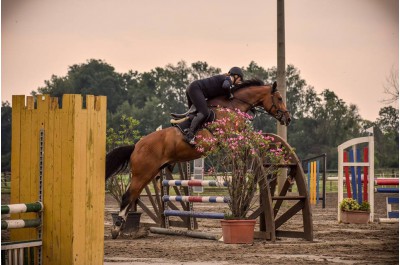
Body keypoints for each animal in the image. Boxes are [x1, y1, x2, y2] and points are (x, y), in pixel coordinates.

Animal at [105, 78, 290, 237]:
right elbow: (244, 139)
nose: (287, 119)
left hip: (151, 173)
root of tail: (136, 146)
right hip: (143, 173)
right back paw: (116, 229)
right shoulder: (228, 135)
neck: (231, 106)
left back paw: (122, 228)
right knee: (127, 197)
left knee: (133, 196)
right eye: (280, 98)